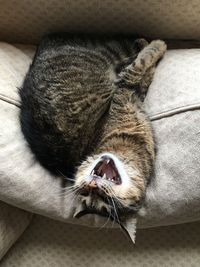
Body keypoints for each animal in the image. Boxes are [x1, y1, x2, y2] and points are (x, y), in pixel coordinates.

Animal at [19, 33, 166, 222]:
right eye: (88, 193)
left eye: (105, 199)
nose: (93, 182)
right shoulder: (125, 87)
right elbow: (142, 63)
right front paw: (158, 44)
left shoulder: (133, 93)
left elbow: (144, 71)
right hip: (109, 51)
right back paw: (143, 42)